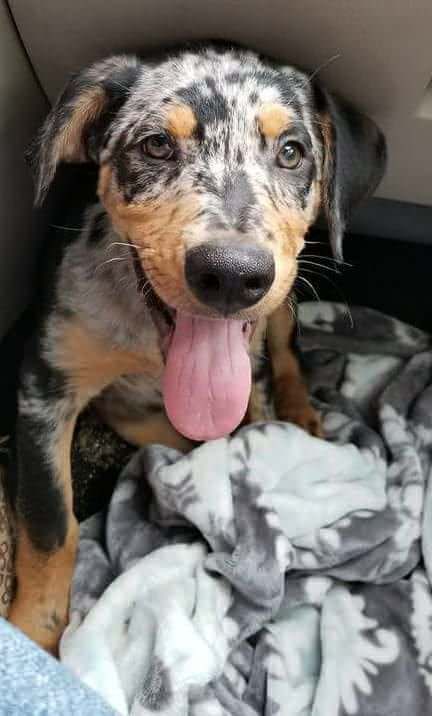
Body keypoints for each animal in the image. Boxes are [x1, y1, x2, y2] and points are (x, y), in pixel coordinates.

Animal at [7, 42, 384, 652]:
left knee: (287, 352)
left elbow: (245, 428)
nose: (231, 274)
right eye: (156, 144)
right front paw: (33, 633)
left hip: (282, 305)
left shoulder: (248, 374)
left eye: (292, 152)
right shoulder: (46, 387)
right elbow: (49, 522)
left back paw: (302, 414)